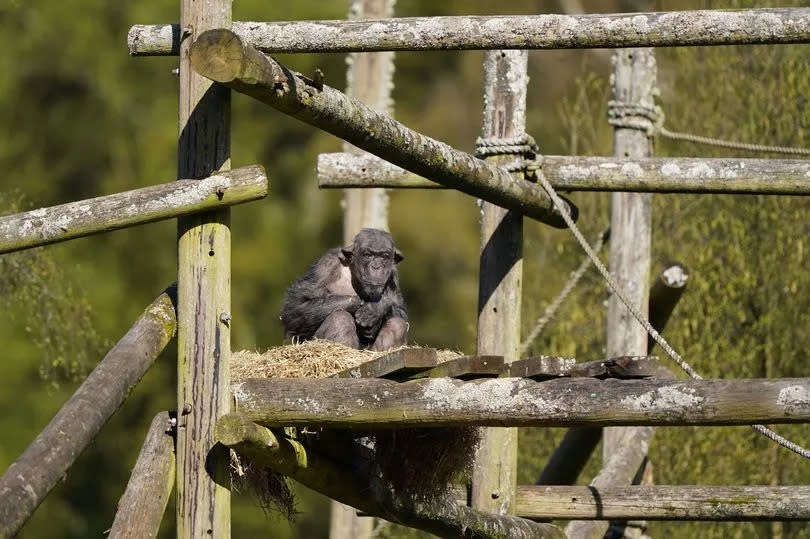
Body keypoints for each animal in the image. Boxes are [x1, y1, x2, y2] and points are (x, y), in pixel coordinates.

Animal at [280, 230, 408, 352]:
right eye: (368, 255)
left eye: (384, 257)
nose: (376, 266)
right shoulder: (325, 265)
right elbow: (296, 306)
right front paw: (361, 305)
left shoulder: (393, 275)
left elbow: (401, 311)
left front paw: (375, 309)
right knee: (339, 319)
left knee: (397, 325)